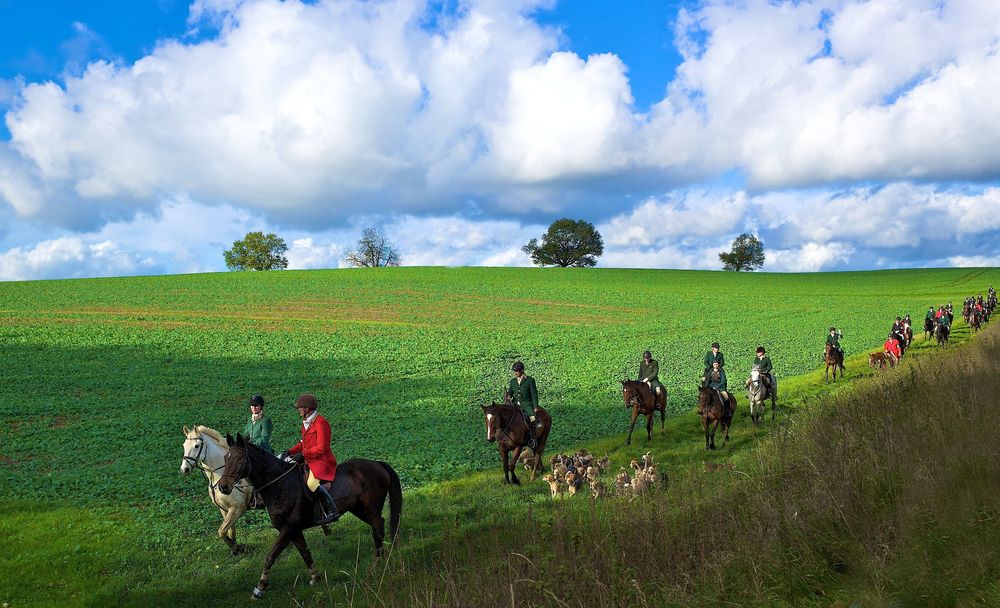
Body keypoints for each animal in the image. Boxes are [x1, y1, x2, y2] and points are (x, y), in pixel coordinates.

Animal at [219, 432, 402, 600]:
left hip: (371, 507)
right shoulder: (294, 530)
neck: (279, 485)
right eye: (225, 458)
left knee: (377, 526)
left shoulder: (288, 528)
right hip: (358, 509)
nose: (223, 487)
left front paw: (260, 588)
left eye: (239, 459)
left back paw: (377, 562)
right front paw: (316, 577)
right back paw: (381, 556)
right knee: (378, 524)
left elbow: (270, 556)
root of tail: (376, 463)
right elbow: (305, 553)